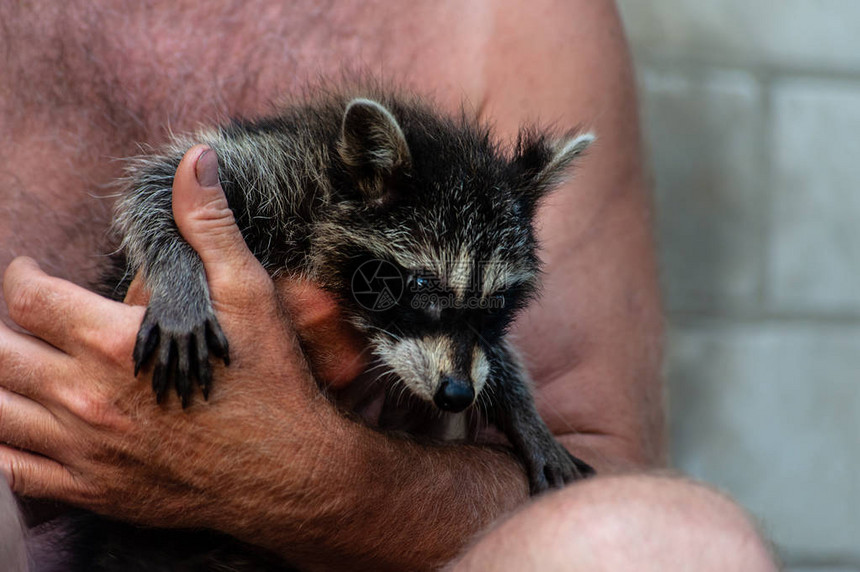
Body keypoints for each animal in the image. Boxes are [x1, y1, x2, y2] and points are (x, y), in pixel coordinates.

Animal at [69, 87, 596, 568]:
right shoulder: (274, 171)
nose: (457, 394)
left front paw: (521, 408)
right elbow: (157, 185)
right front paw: (179, 273)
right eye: (422, 285)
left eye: (497, 304)